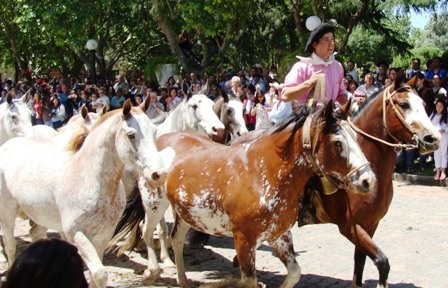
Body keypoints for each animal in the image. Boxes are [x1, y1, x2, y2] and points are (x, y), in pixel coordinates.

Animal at [0, 99, 170, 288]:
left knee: (35, 236)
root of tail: (9, 145)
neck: (88, 177)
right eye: (131, 134)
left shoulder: (103, 236)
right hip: (7, 211)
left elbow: (95, 275)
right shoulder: (77, 234)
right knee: (10, 244)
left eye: (154, 132)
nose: (159, 174)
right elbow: (100, 274)